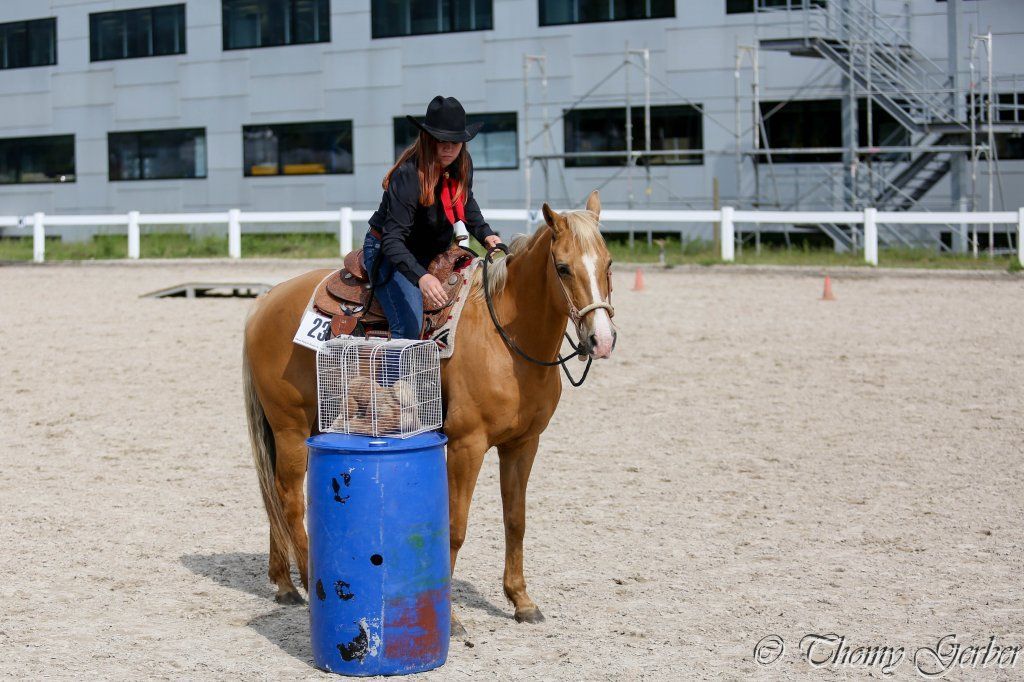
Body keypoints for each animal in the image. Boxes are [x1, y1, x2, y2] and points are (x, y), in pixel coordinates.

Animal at [242, 190, 616, 633]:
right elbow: (454, 527)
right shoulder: (466, 446)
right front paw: (450, 618)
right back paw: (303, 575)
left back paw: (283, 583)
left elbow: (516, 521)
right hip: (290, 427)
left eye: (609, 263)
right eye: (562, 267)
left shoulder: (524, 444)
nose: (601, 339)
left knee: (273, 495)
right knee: (288, 498)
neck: (506, 339)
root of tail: (266, 301)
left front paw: (522, 600)